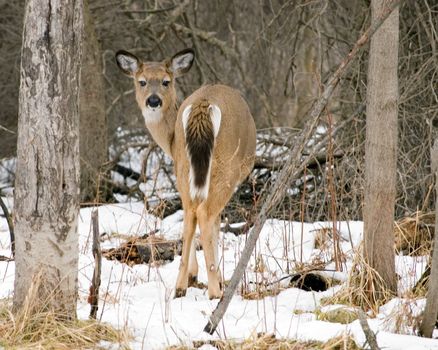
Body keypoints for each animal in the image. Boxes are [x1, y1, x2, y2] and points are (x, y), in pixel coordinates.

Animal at [115, 48, 256, 298]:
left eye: (166, 81)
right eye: (142, 81)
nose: (153, 101)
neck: (169, 141)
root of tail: (202, 105)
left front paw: (193, 275)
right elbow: (215, 225)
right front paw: (213, 277)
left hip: (183, 166)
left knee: (190, 213)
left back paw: (180, 286)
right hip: (225, 167)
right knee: (204, 213)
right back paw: (214, 290)